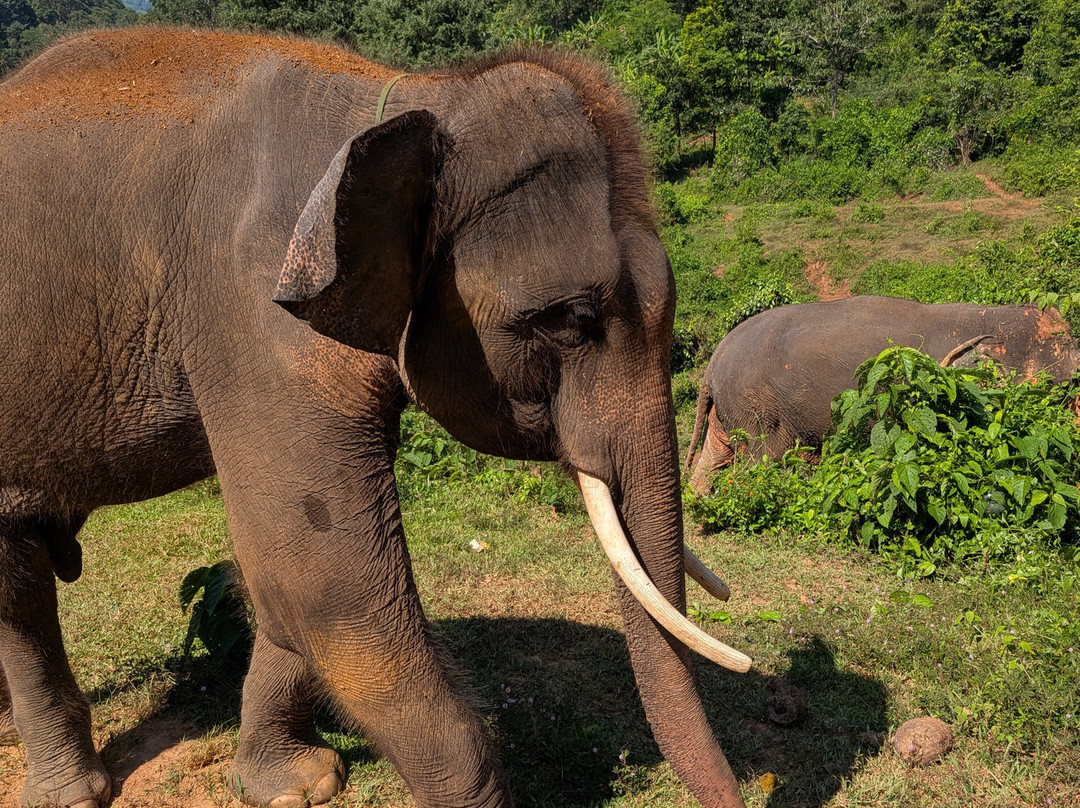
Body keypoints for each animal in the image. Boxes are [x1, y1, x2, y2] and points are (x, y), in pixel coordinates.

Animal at [0, 27, 749, 808]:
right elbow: (322, 574)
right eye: (573, 320)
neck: (415, 93)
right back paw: (71, 794)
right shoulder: (246, 310)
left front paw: (296, 785)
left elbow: (287, 581)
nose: (750, 791)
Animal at [686, 296, 1080, 496]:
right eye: (1065, 387)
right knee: (759, 463)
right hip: (756, 406)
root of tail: (712, 364)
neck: (985, 317)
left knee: (712, 458)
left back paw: (700, 500)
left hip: (730, 409)